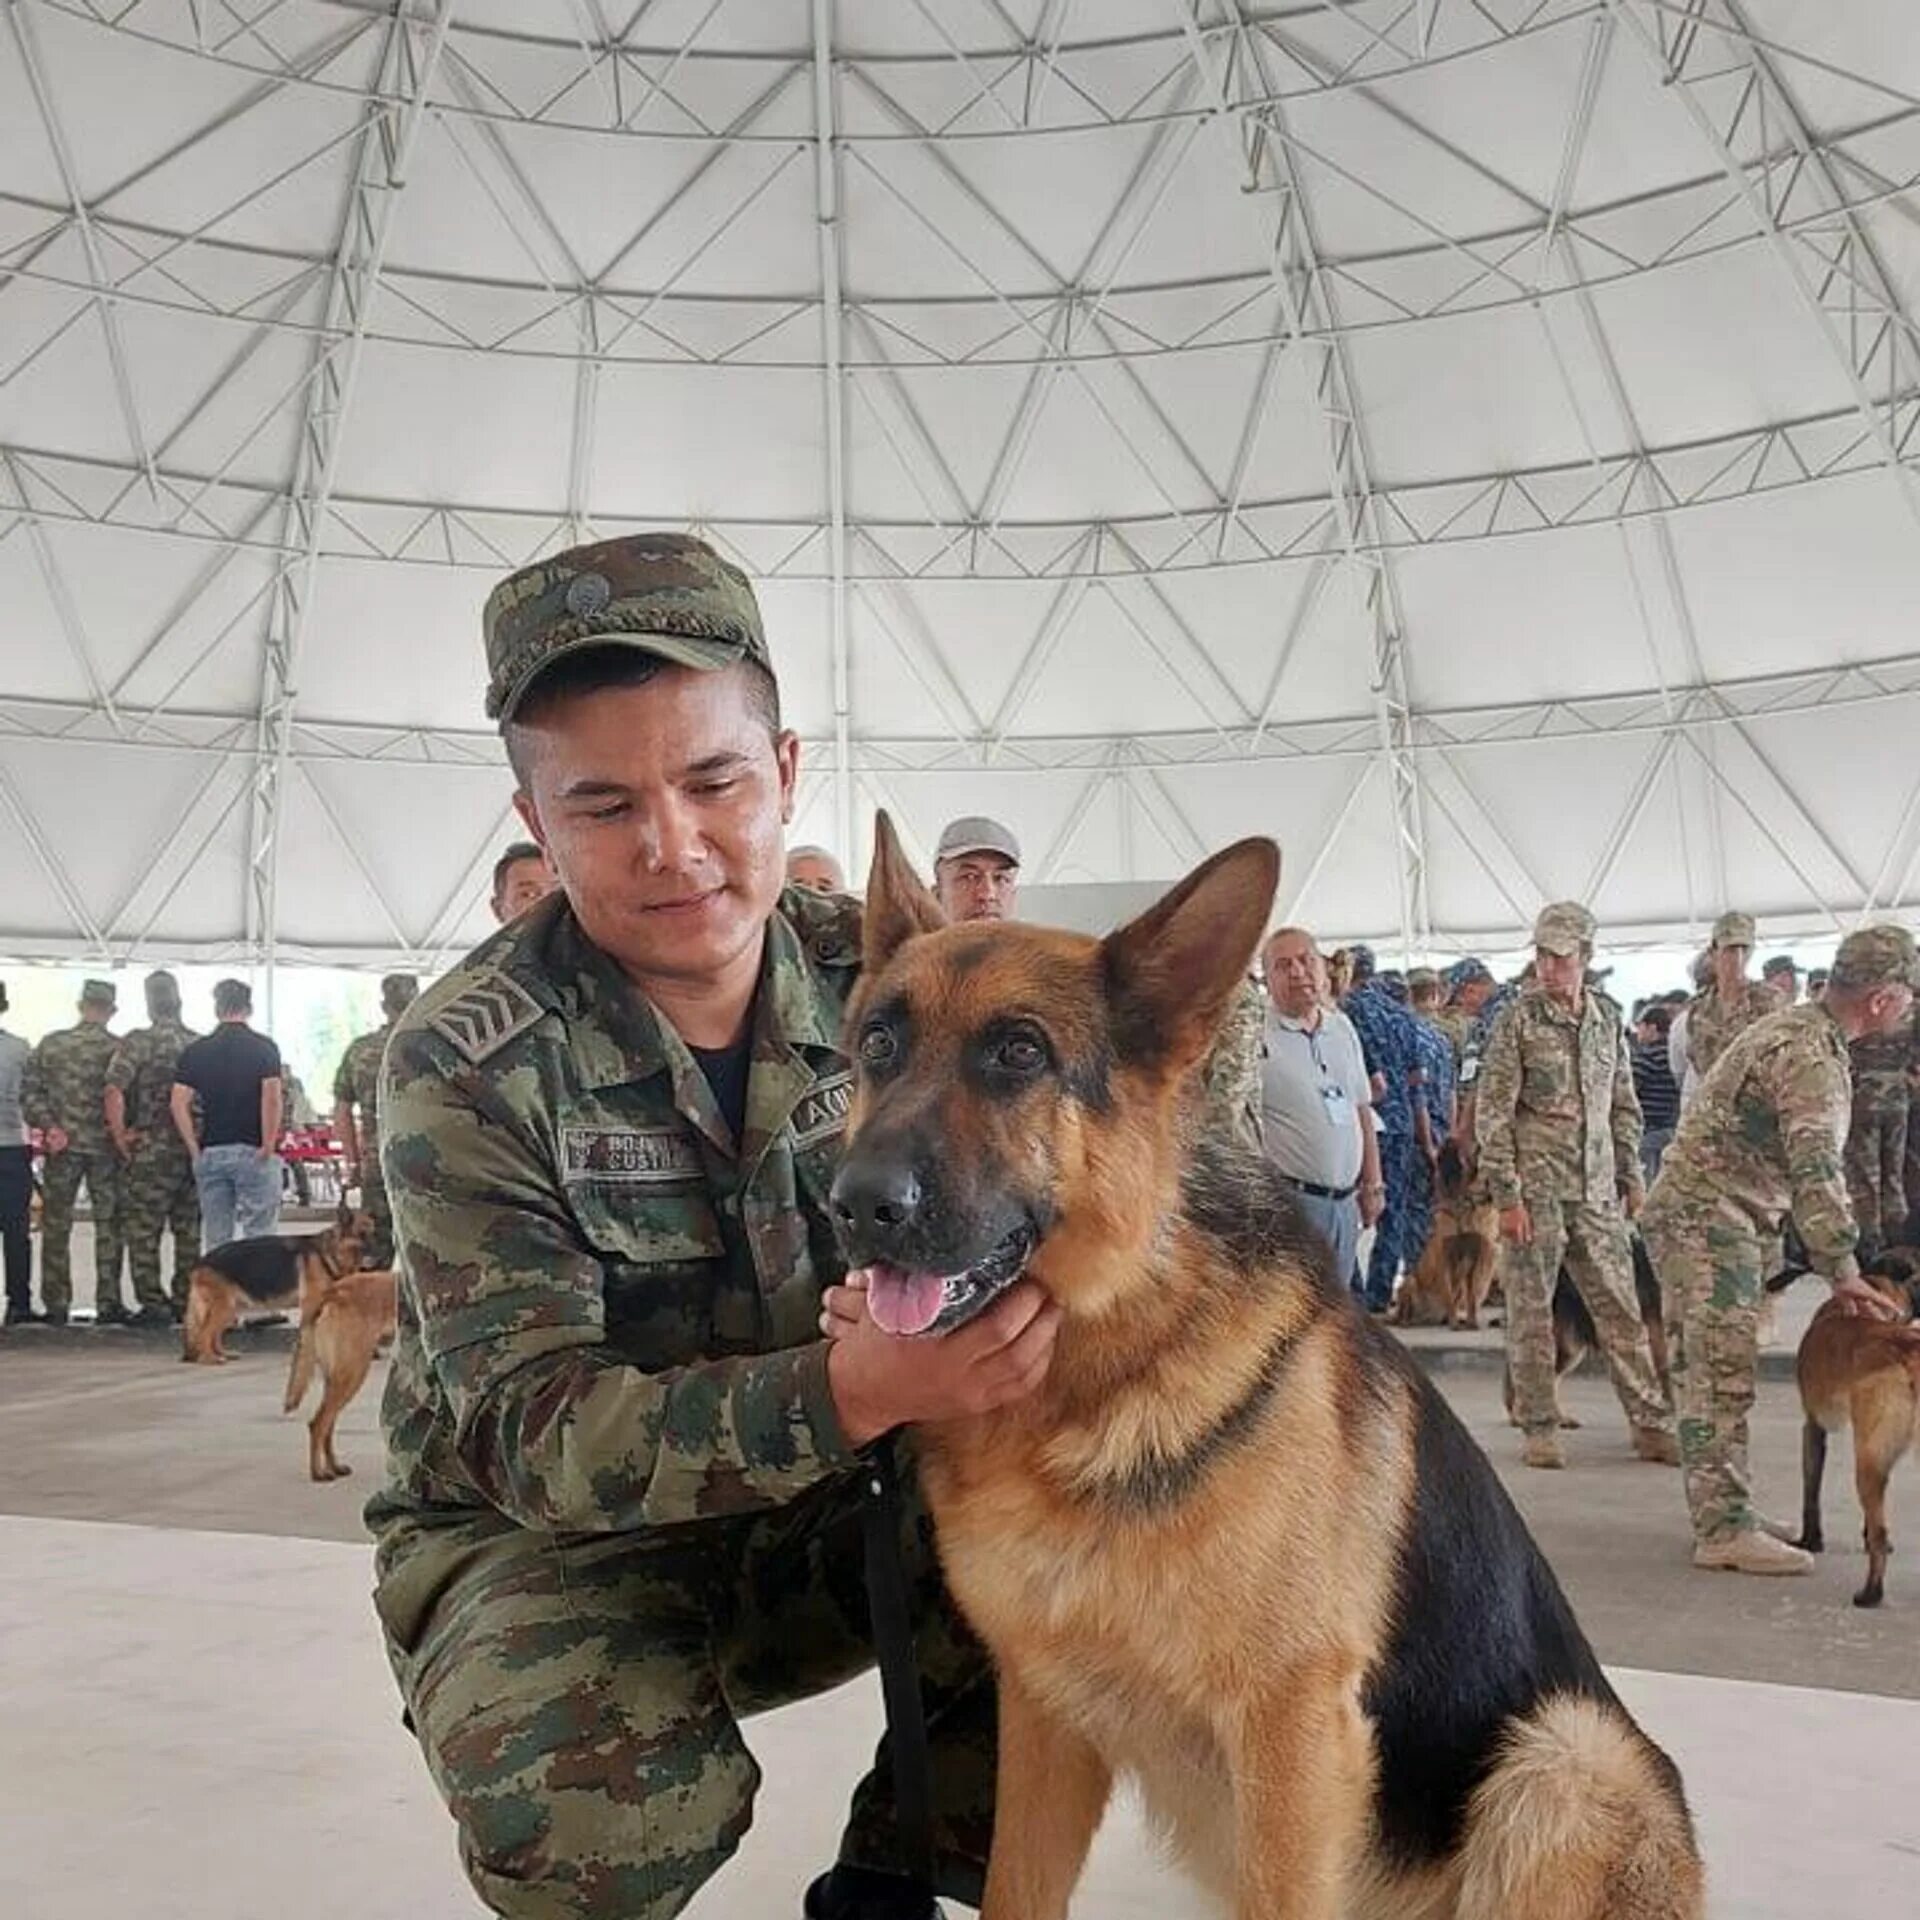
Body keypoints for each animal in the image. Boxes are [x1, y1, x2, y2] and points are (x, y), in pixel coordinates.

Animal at [185, 1198, 380, 1367]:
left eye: (373, 1234)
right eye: (361, 1235)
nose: (379, 1256)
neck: (328, 1253)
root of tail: (200, 1262)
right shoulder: (310, 1305)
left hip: (230, 1309)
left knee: (215, 1334)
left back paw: (222, 1353)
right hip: (223, 1307)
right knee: (203, 1334)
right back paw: (209, 1359)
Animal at [280, 1274, 397, 1482]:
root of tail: (331, 1291)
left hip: (338, 1379)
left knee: (327, 1427)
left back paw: (334, 1467)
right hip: (353, 1373)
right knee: (318, 1424)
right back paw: (318, 1473)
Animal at [1390, 1144, 1505, 1328]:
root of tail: (1428, 1317)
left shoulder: (1474, 1258)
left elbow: (1471, 1296)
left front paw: (1471, 1321)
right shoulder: (1445, 1257)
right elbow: (1449, 1294)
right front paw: (1454, 1323)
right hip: (1410, 1282)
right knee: (1403, 1312)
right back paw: (1407, 1322)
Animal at [1789, 1244, 1920, 1605]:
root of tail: (1906, 1350)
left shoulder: (1813, 1427)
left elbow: (1810, 1492)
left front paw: (1810, 1541)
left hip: (1867, 1462)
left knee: (1880, 1533)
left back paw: (1870, 1593)